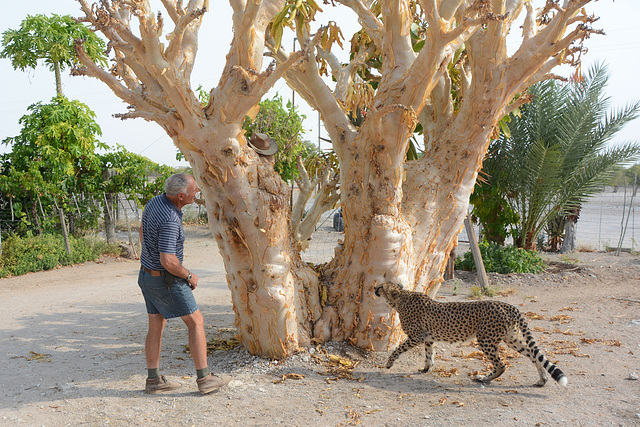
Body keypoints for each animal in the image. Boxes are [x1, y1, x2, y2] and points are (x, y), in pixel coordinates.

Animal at [372, 280, 568, 388]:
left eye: (381, 286)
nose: (374, 288)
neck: (400, 297)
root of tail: (507, 305)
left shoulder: (417, 336)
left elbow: (398, 349)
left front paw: (389, 363)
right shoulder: (428, 339)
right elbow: (429, 355)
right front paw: (426, 369)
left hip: (486, 339)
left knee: (501, 365)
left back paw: (483, 378)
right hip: (511, 338)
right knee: (533, 355)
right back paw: (542, 380)